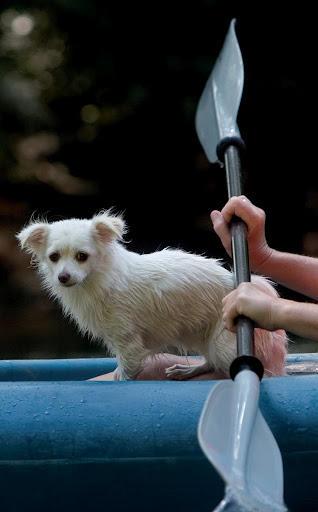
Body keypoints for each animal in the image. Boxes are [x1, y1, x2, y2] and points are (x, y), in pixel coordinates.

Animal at [16, 209, 286, 380]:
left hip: (223, 342)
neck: (96, 281)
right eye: (54, 257)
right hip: (201, 336)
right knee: (210, 362)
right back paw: (187, 370)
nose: (63, 277)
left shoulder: (128, 342)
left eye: (82, 256)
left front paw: (121, 379)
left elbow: (126, 371)